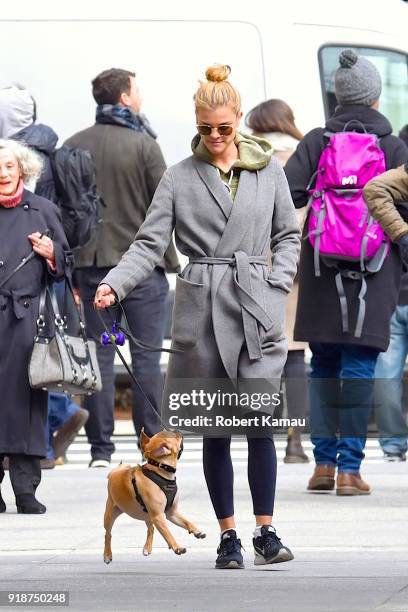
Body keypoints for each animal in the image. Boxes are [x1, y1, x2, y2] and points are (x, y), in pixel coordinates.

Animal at [102, 428, 204, 560]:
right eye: (174, 436)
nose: (176, 429)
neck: (160, 472)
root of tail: (116, 470)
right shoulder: (158, 516)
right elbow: (167, 533)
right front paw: (177, 547)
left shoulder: (172, 513)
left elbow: (186, 522)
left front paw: (196, 531)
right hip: (110, 514)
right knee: (108, 534)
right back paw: (107, 554)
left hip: (148, 514)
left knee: (150, 528)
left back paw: (147, 548)